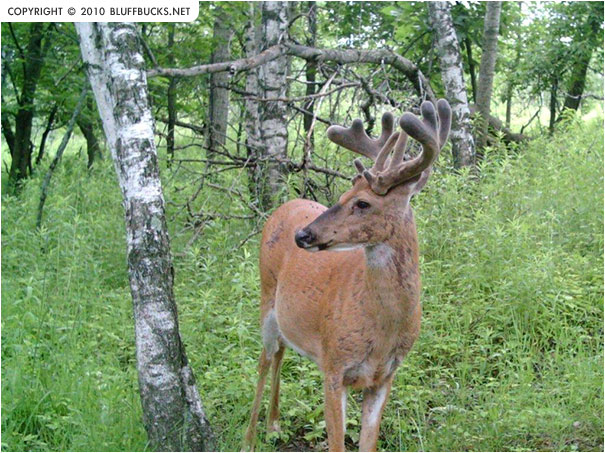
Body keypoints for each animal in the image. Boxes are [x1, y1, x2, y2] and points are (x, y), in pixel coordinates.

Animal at [243, 99, 451, 452]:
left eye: (363, 203)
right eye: (342, 196)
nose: (303, 235)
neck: (381, 329)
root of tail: (285, 205)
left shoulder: (385, 376)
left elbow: (368, 443)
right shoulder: (333, 366)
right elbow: (337, 444)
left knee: (282, 351)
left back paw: (273, 426)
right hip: (265, 293)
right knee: (264, 359)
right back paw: (249, 439)